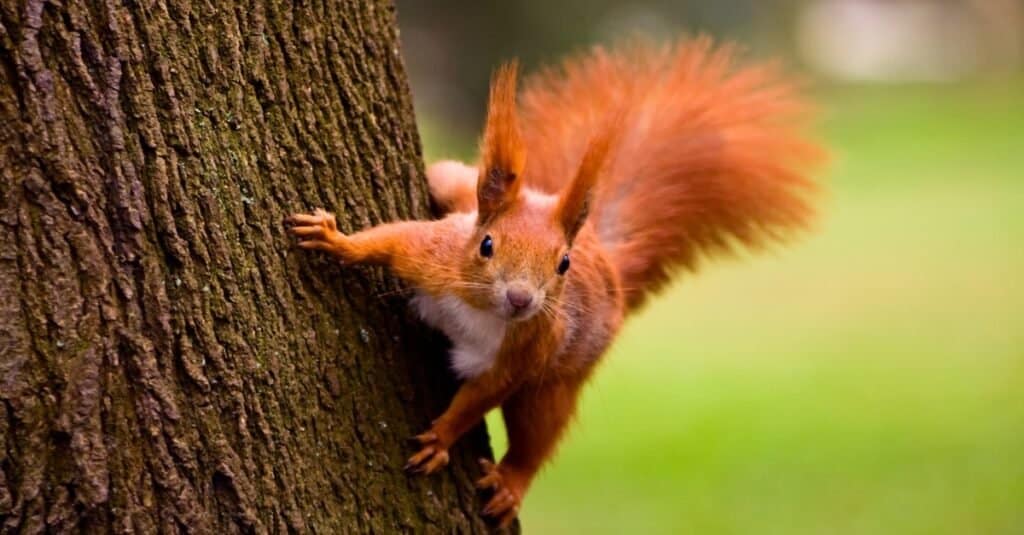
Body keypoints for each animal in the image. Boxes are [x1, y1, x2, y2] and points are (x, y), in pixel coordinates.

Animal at [288, 38, 823, 524]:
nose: (521, 299)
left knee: (538, 433)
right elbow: (389, 240)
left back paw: (511, 483)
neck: (481, 309)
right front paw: (335, 240)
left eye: (562, 264)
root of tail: (607, 261)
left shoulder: (525, 352)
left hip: (559, 380)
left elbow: (480, 397)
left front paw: (441, 438)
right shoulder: (432, 257)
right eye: (486, 245)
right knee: (448, 179)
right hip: (457, 188)